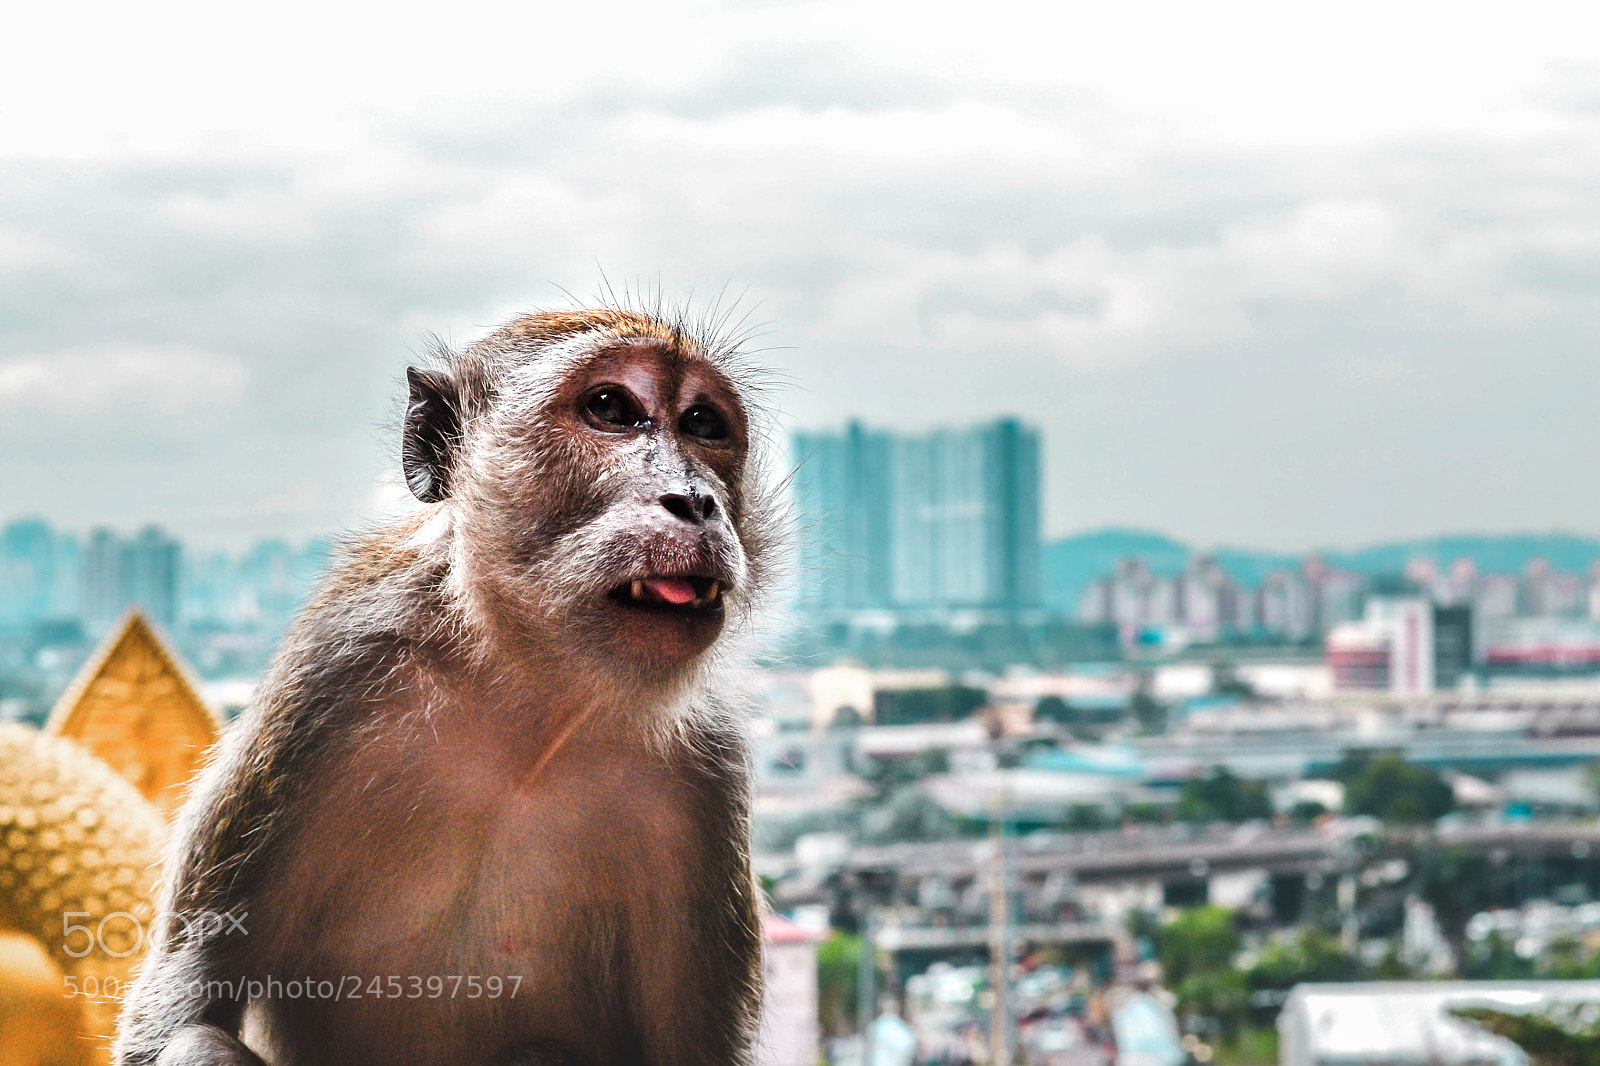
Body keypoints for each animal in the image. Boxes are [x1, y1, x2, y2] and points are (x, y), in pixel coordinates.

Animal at [114, 306, 782, 1066]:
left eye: (702, 423)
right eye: (611, 408)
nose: (695, 500)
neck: (531, 711)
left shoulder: (708, 772)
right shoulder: (330, 676)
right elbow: (186, 1005)